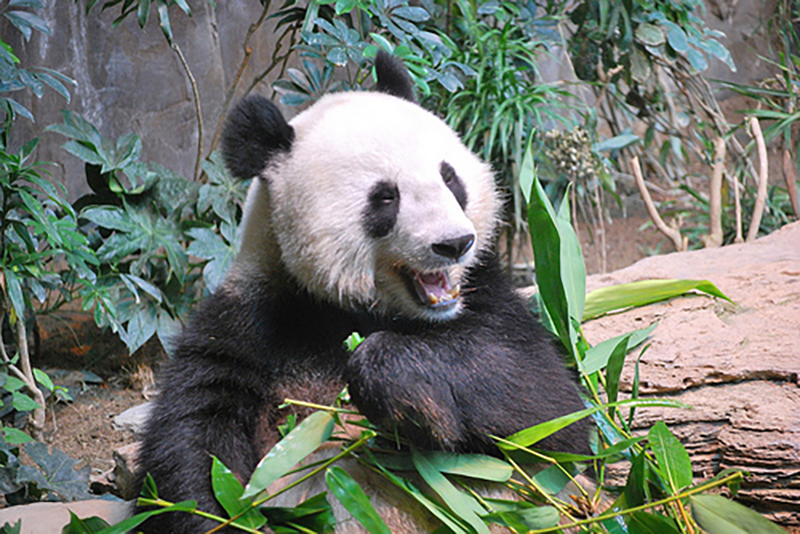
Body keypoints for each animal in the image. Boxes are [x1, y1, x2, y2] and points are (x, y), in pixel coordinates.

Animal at [134, 51, 590, 533]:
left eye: (450, 178)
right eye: (385, 197)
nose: (454, 243)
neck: (351, 307)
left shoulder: (485, 296)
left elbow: (546, 407)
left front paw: (393, 382)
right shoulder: (250, 320)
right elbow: (192, 452)